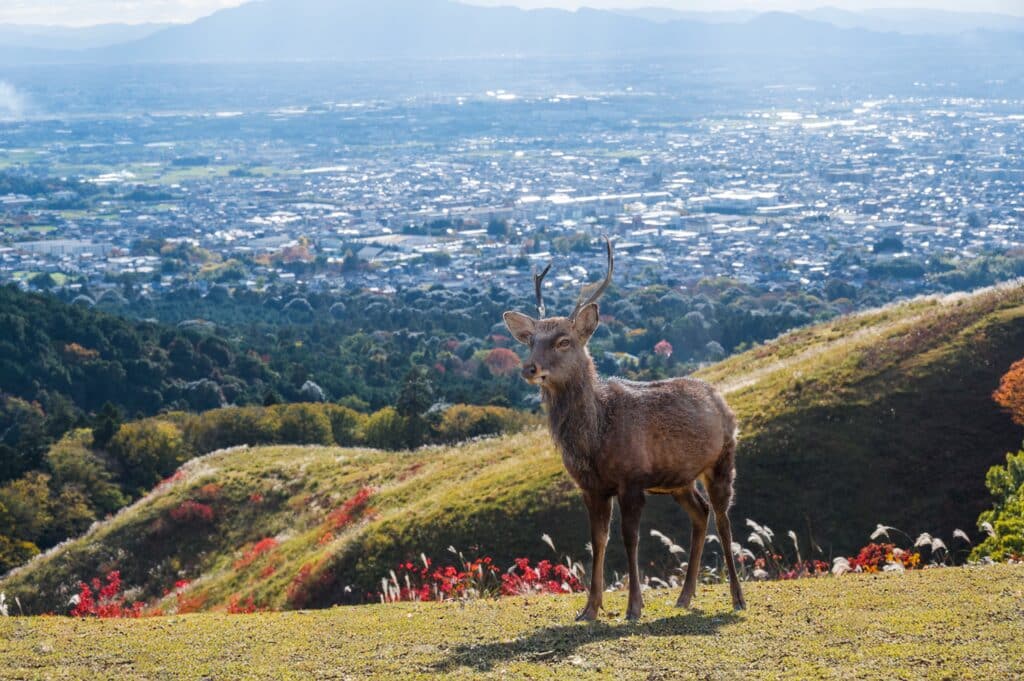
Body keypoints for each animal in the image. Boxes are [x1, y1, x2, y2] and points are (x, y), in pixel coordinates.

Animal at [503, 238, 745, 621]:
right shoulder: (591, 487)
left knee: (723, 518)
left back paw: (737, 597)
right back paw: (684, 596)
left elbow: (631, 538)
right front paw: (590, 608)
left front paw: (633, 606)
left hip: (723, 459)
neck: (594, 440)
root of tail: (720, 398)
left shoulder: (631, 479)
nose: (529, 368)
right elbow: (597, 539)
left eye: (563, 341)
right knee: (701, 512)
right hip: (679, 479)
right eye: (530, 341)